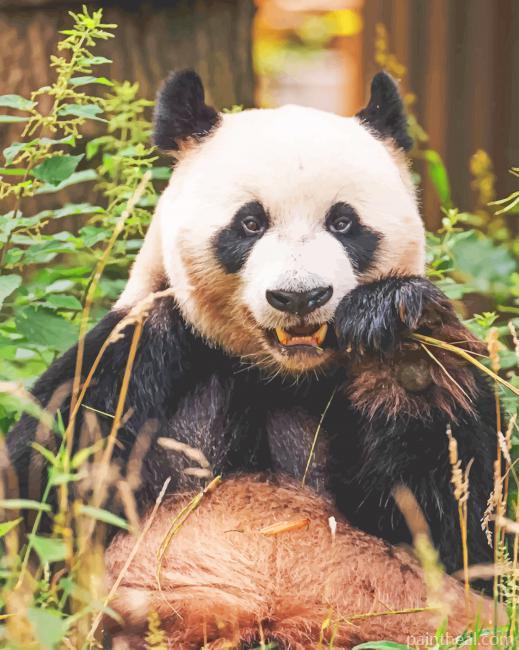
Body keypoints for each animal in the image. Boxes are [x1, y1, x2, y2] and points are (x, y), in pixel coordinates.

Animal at [7, 70, 499, 646]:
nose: (299, 297)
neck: (279, 373)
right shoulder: (134, 360)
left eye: (343, 223)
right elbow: (38, 493)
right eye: (249, 223)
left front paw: (403, 349)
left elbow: (458, 526)